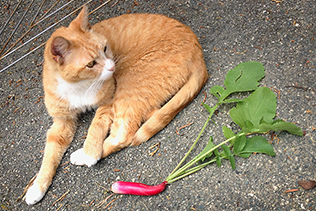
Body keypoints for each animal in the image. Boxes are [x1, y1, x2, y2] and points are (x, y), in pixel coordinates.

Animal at [24, 6, 207, 204]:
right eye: (90, 64)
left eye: (105, 48)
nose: (112, 67)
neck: (78, 86)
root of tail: (197, 48)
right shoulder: (61, 123)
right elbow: (49, 156)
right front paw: (36, 188)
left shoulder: (108, 101)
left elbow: (95, 127)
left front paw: (90, 153)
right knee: (155, 113)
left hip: (128, 86)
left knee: (124, 133)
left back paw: (81, 154)